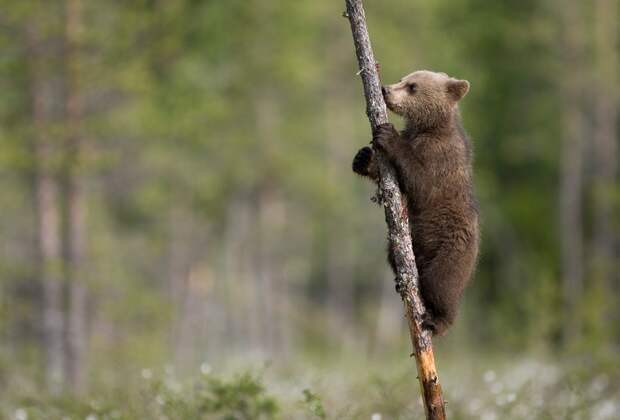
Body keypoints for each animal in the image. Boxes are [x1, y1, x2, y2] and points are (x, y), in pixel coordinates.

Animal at [354, 70, 480, 336]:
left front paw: (387, 135)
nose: (385, 89)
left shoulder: (440, 157)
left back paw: (438, 320)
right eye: (403, 79)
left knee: (440, 284)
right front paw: (363, 158)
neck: (428, 127)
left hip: (453, 250)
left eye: (413, 86)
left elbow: (421, 184)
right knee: (392, 254)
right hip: (415, 239)